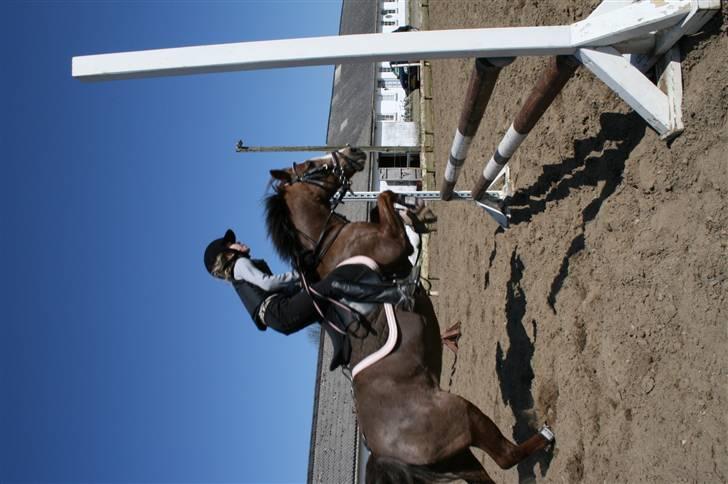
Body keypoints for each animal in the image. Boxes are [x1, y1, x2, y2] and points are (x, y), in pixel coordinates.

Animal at [264, 147, 552, 480]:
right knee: (507, 456)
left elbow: (387, 203)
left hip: (460, 459)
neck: (334, 239)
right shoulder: (394, 246)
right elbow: (384, 196)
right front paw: (412, 206)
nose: (353, 152)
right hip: (463, 416)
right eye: (312, 163)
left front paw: (419, 213)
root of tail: (384, 453)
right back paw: (546, 434)